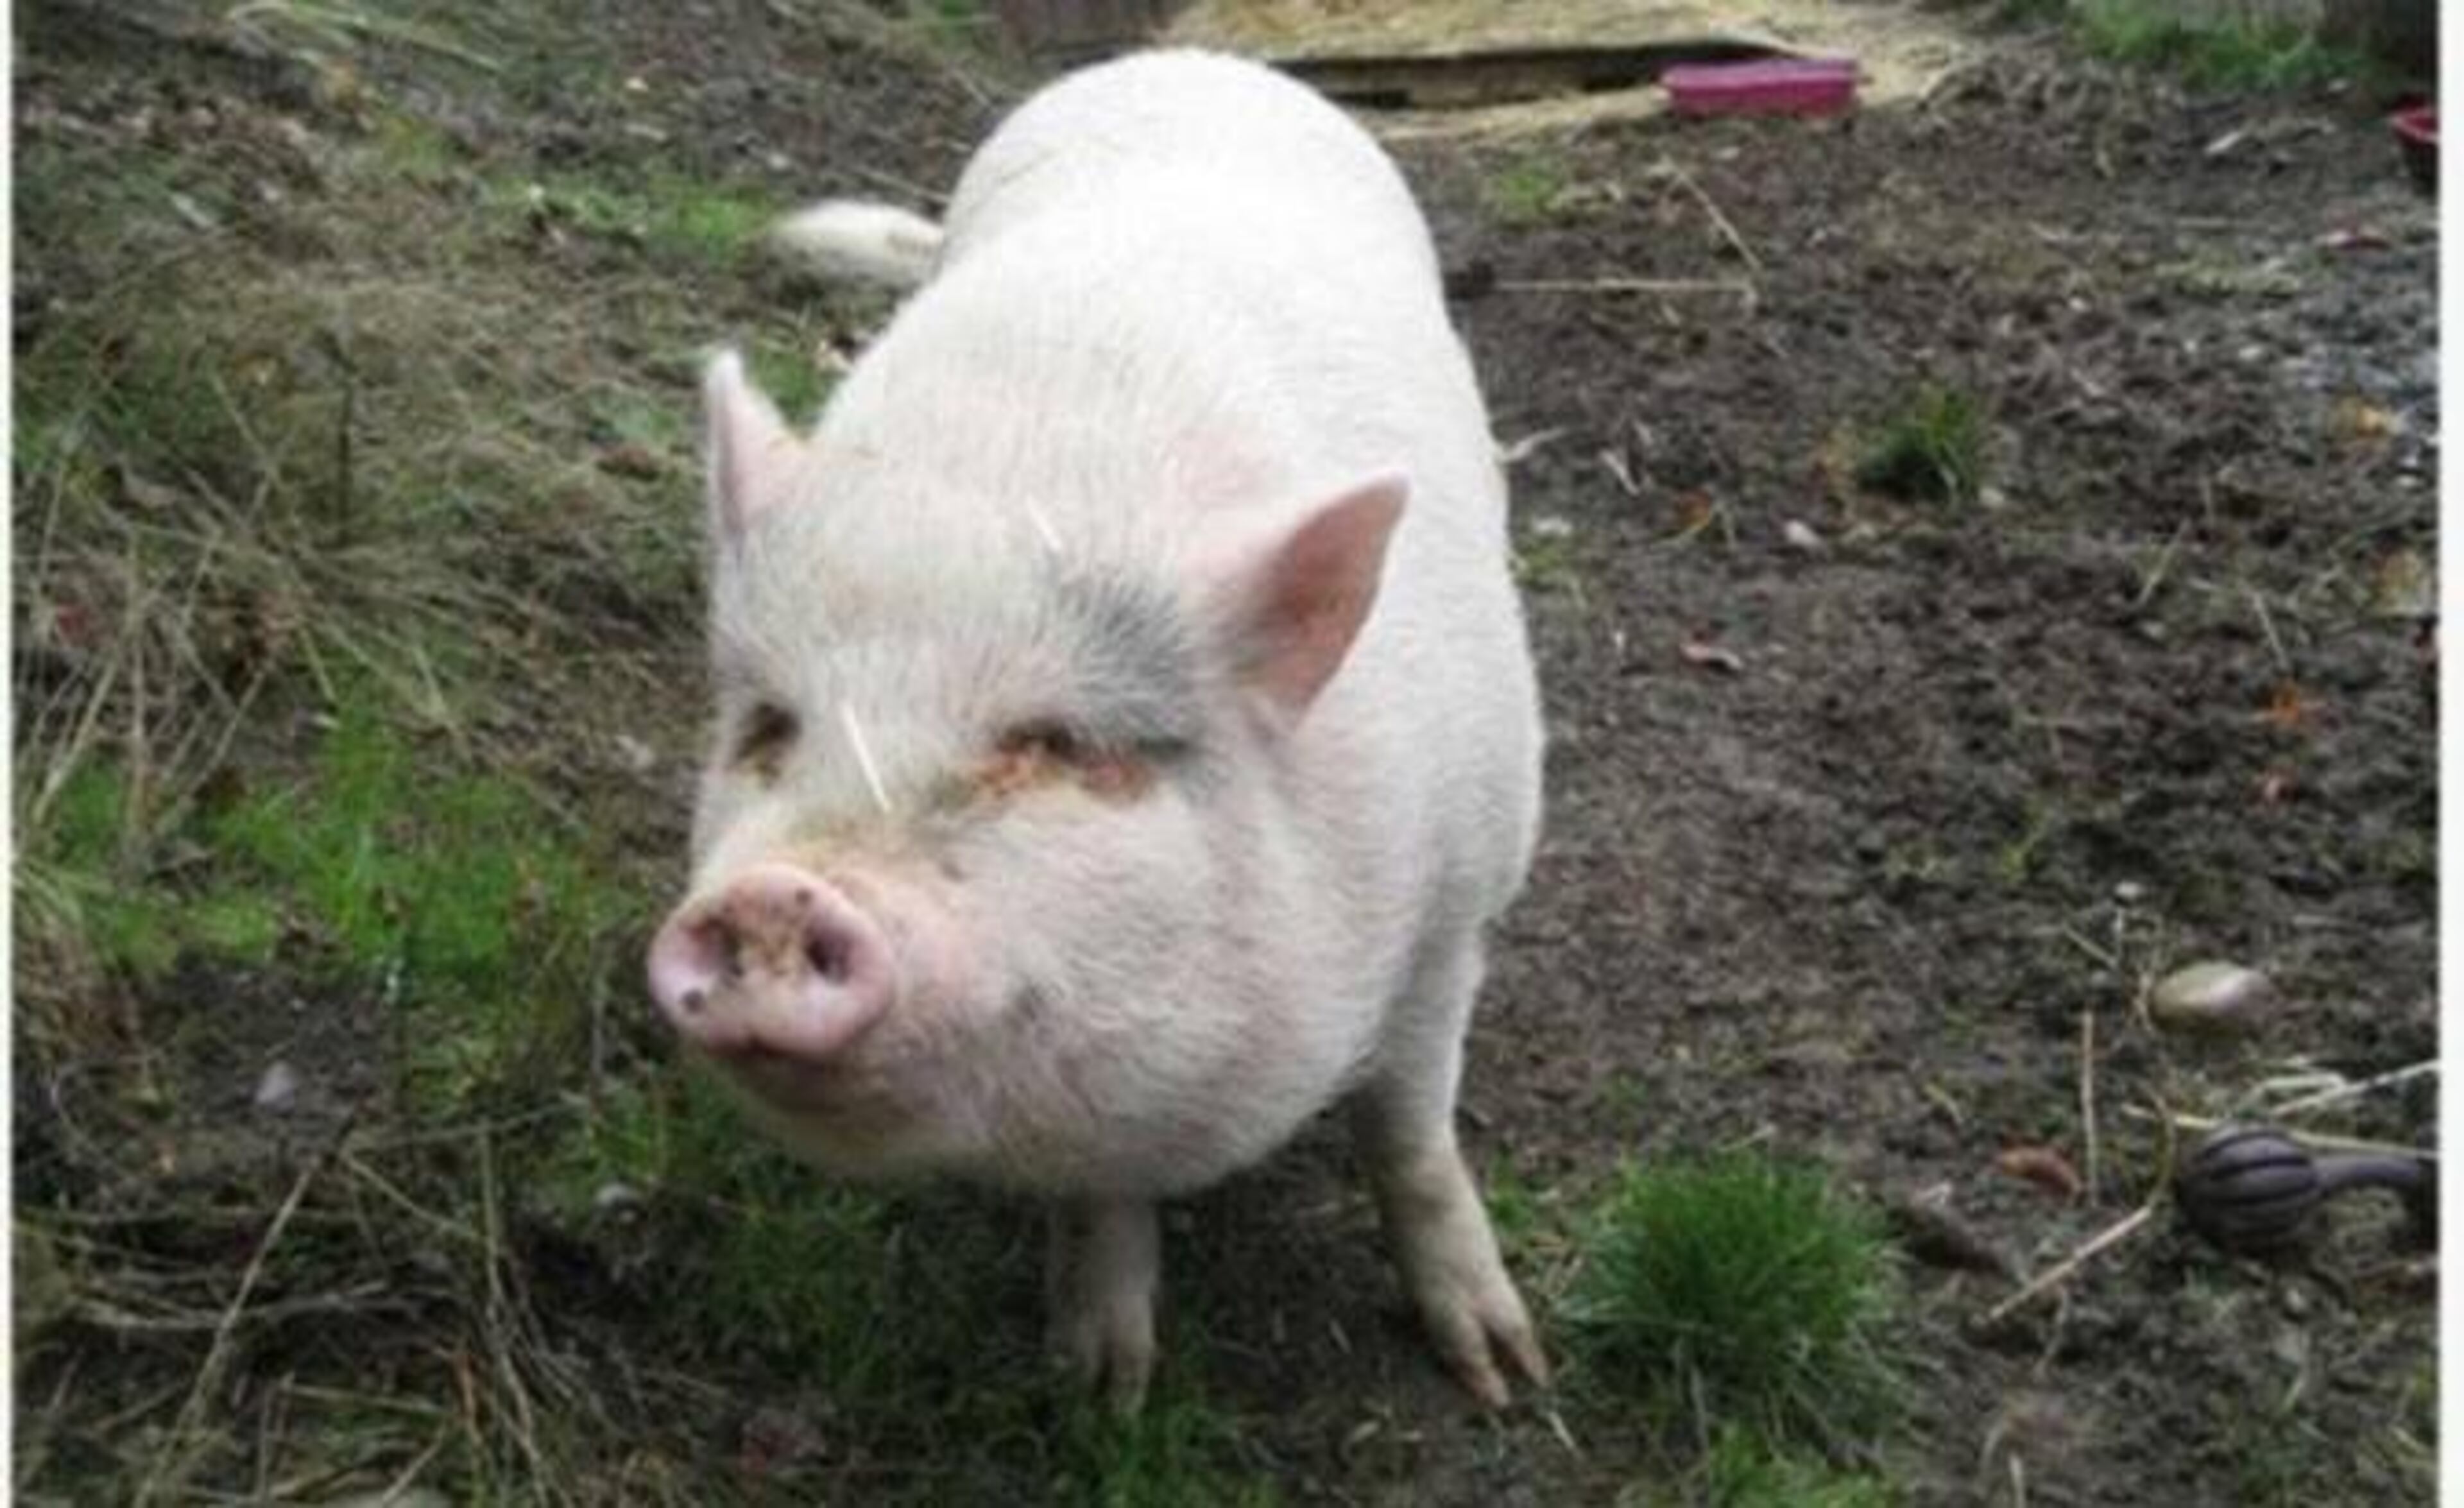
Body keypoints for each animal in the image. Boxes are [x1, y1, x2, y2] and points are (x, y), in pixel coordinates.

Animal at [648, 49, 1546, 1413]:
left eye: (1059, 745)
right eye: (770, 728)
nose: (775, 896)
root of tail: (1186, 59)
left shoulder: (1460, 897)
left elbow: (1408, 1123)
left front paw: (1502, 1375)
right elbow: (1102, 1186)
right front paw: (1100, 1391)